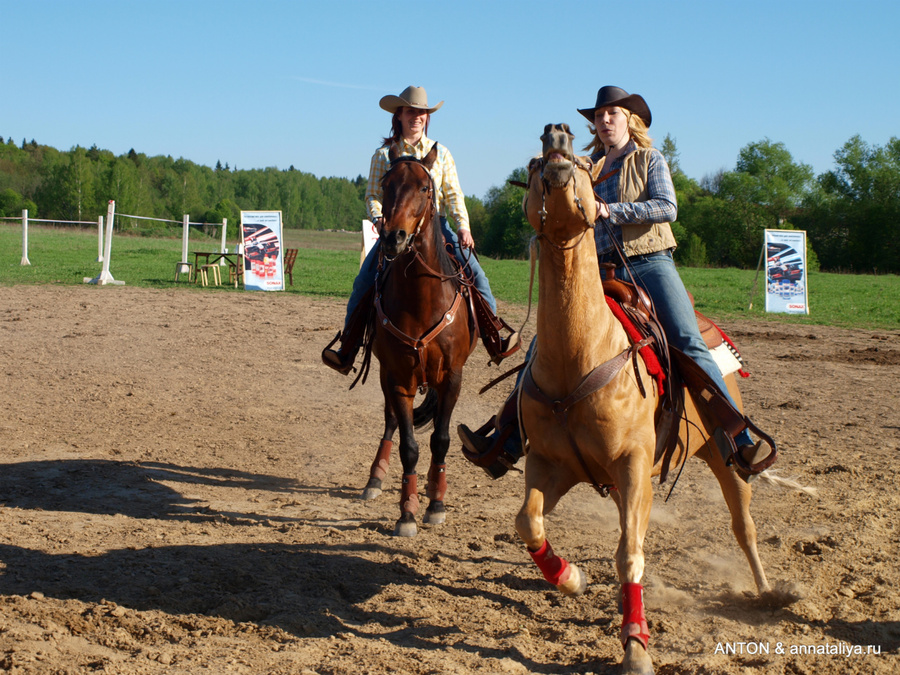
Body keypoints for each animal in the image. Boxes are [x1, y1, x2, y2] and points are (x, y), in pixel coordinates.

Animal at [364, 143, 482, 540]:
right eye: (386, 186)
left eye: (425, 188)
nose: (393, 237)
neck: (421, 299)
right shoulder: (398, 376)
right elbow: (410, 446)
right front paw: (407, 511)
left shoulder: (452, 377)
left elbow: (441, 441)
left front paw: (436, 503)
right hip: (386, 375)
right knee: (390, 422)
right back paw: (374, 479)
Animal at [516, 124, 768, 672]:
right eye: (531, 164)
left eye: (585, 167)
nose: (556, 137)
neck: (578, 356)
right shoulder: (550, 464)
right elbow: (530, 523)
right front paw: (571, 578)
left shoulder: (633, 463)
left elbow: (630, 551)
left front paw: (636, 646)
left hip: (722, 452)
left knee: (743, 524)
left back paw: (769, 592)